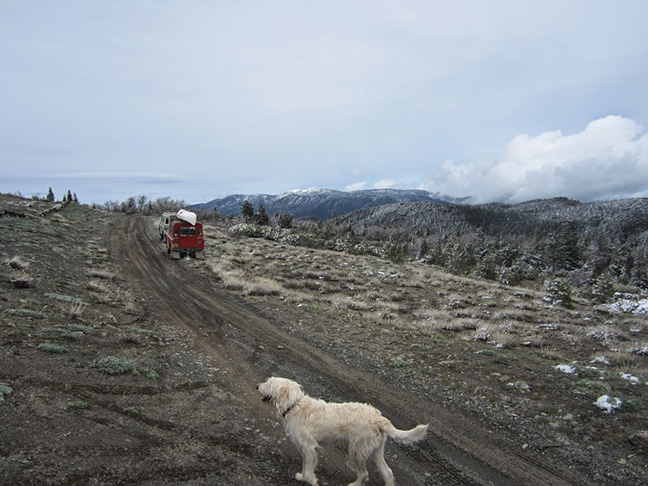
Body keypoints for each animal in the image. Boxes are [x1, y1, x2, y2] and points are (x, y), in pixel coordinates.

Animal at [256, 376, 428, 486]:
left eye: (269, 383)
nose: (257, 387)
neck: (294, 405)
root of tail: (379, 418)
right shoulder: (306, 449)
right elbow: (305, 466)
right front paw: (302, 477)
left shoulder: (310, 448)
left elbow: (308, 469)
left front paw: (311, 480)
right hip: (375, 450)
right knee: (388, 473)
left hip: (356, 450)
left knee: (364, 474)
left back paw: (355, 484)